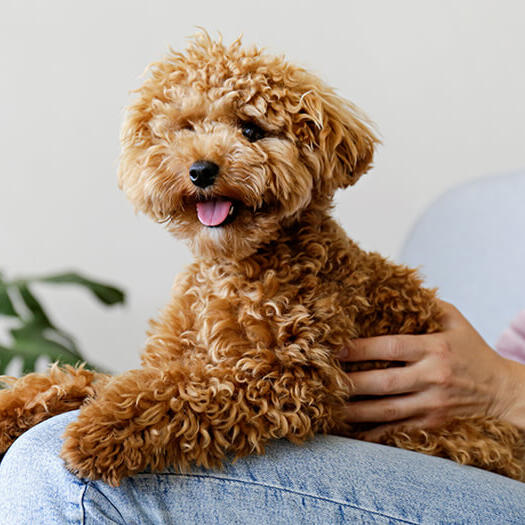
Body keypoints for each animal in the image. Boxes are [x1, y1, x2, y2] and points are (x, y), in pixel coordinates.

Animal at [0, 31, 520, 484]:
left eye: (250, 130)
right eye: (186, 128)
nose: (201, 170)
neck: (233, 269)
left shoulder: (288, 378)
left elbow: (181, 391)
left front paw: (99, 430)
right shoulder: (169, 359)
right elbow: (90, 380)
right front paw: (14, 410)